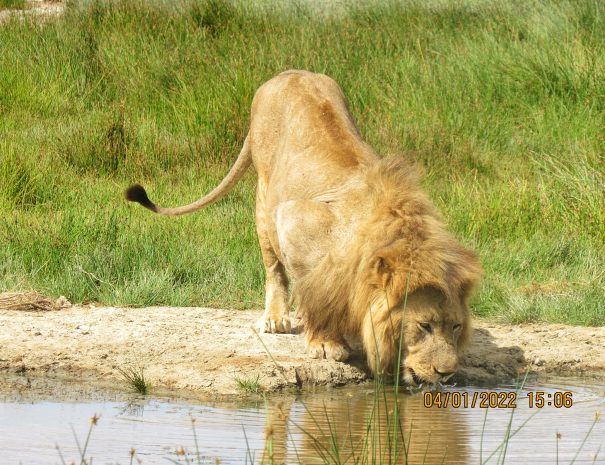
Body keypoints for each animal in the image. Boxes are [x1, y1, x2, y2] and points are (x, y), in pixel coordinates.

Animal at [126, 70, 482, 384]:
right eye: (424, 326)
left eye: (455, 327)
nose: (447, 374)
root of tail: (287, 73)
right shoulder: (294, 221)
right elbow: (315, 292)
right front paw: (326, 343)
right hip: (265, 200)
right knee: (273, 266)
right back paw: (276, 318)